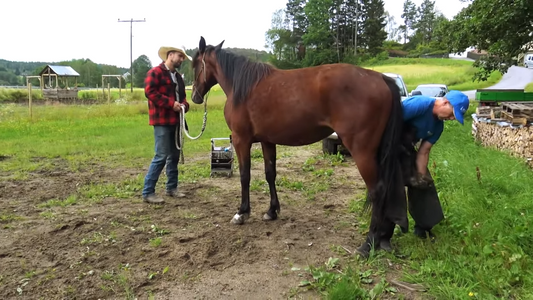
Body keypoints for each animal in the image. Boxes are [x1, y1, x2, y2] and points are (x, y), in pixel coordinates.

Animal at [191, 36, 408, 256]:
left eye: (195, 65)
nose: (194, 97)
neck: (243, 87)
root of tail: (381, 78)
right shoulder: (268, 141)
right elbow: (270, 174)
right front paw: (271, 211)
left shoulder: (240, 140)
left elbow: (245, 176)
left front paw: (242, 213)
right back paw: (382, 238)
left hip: (362, 151)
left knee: (377, 190)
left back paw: (368, 243)